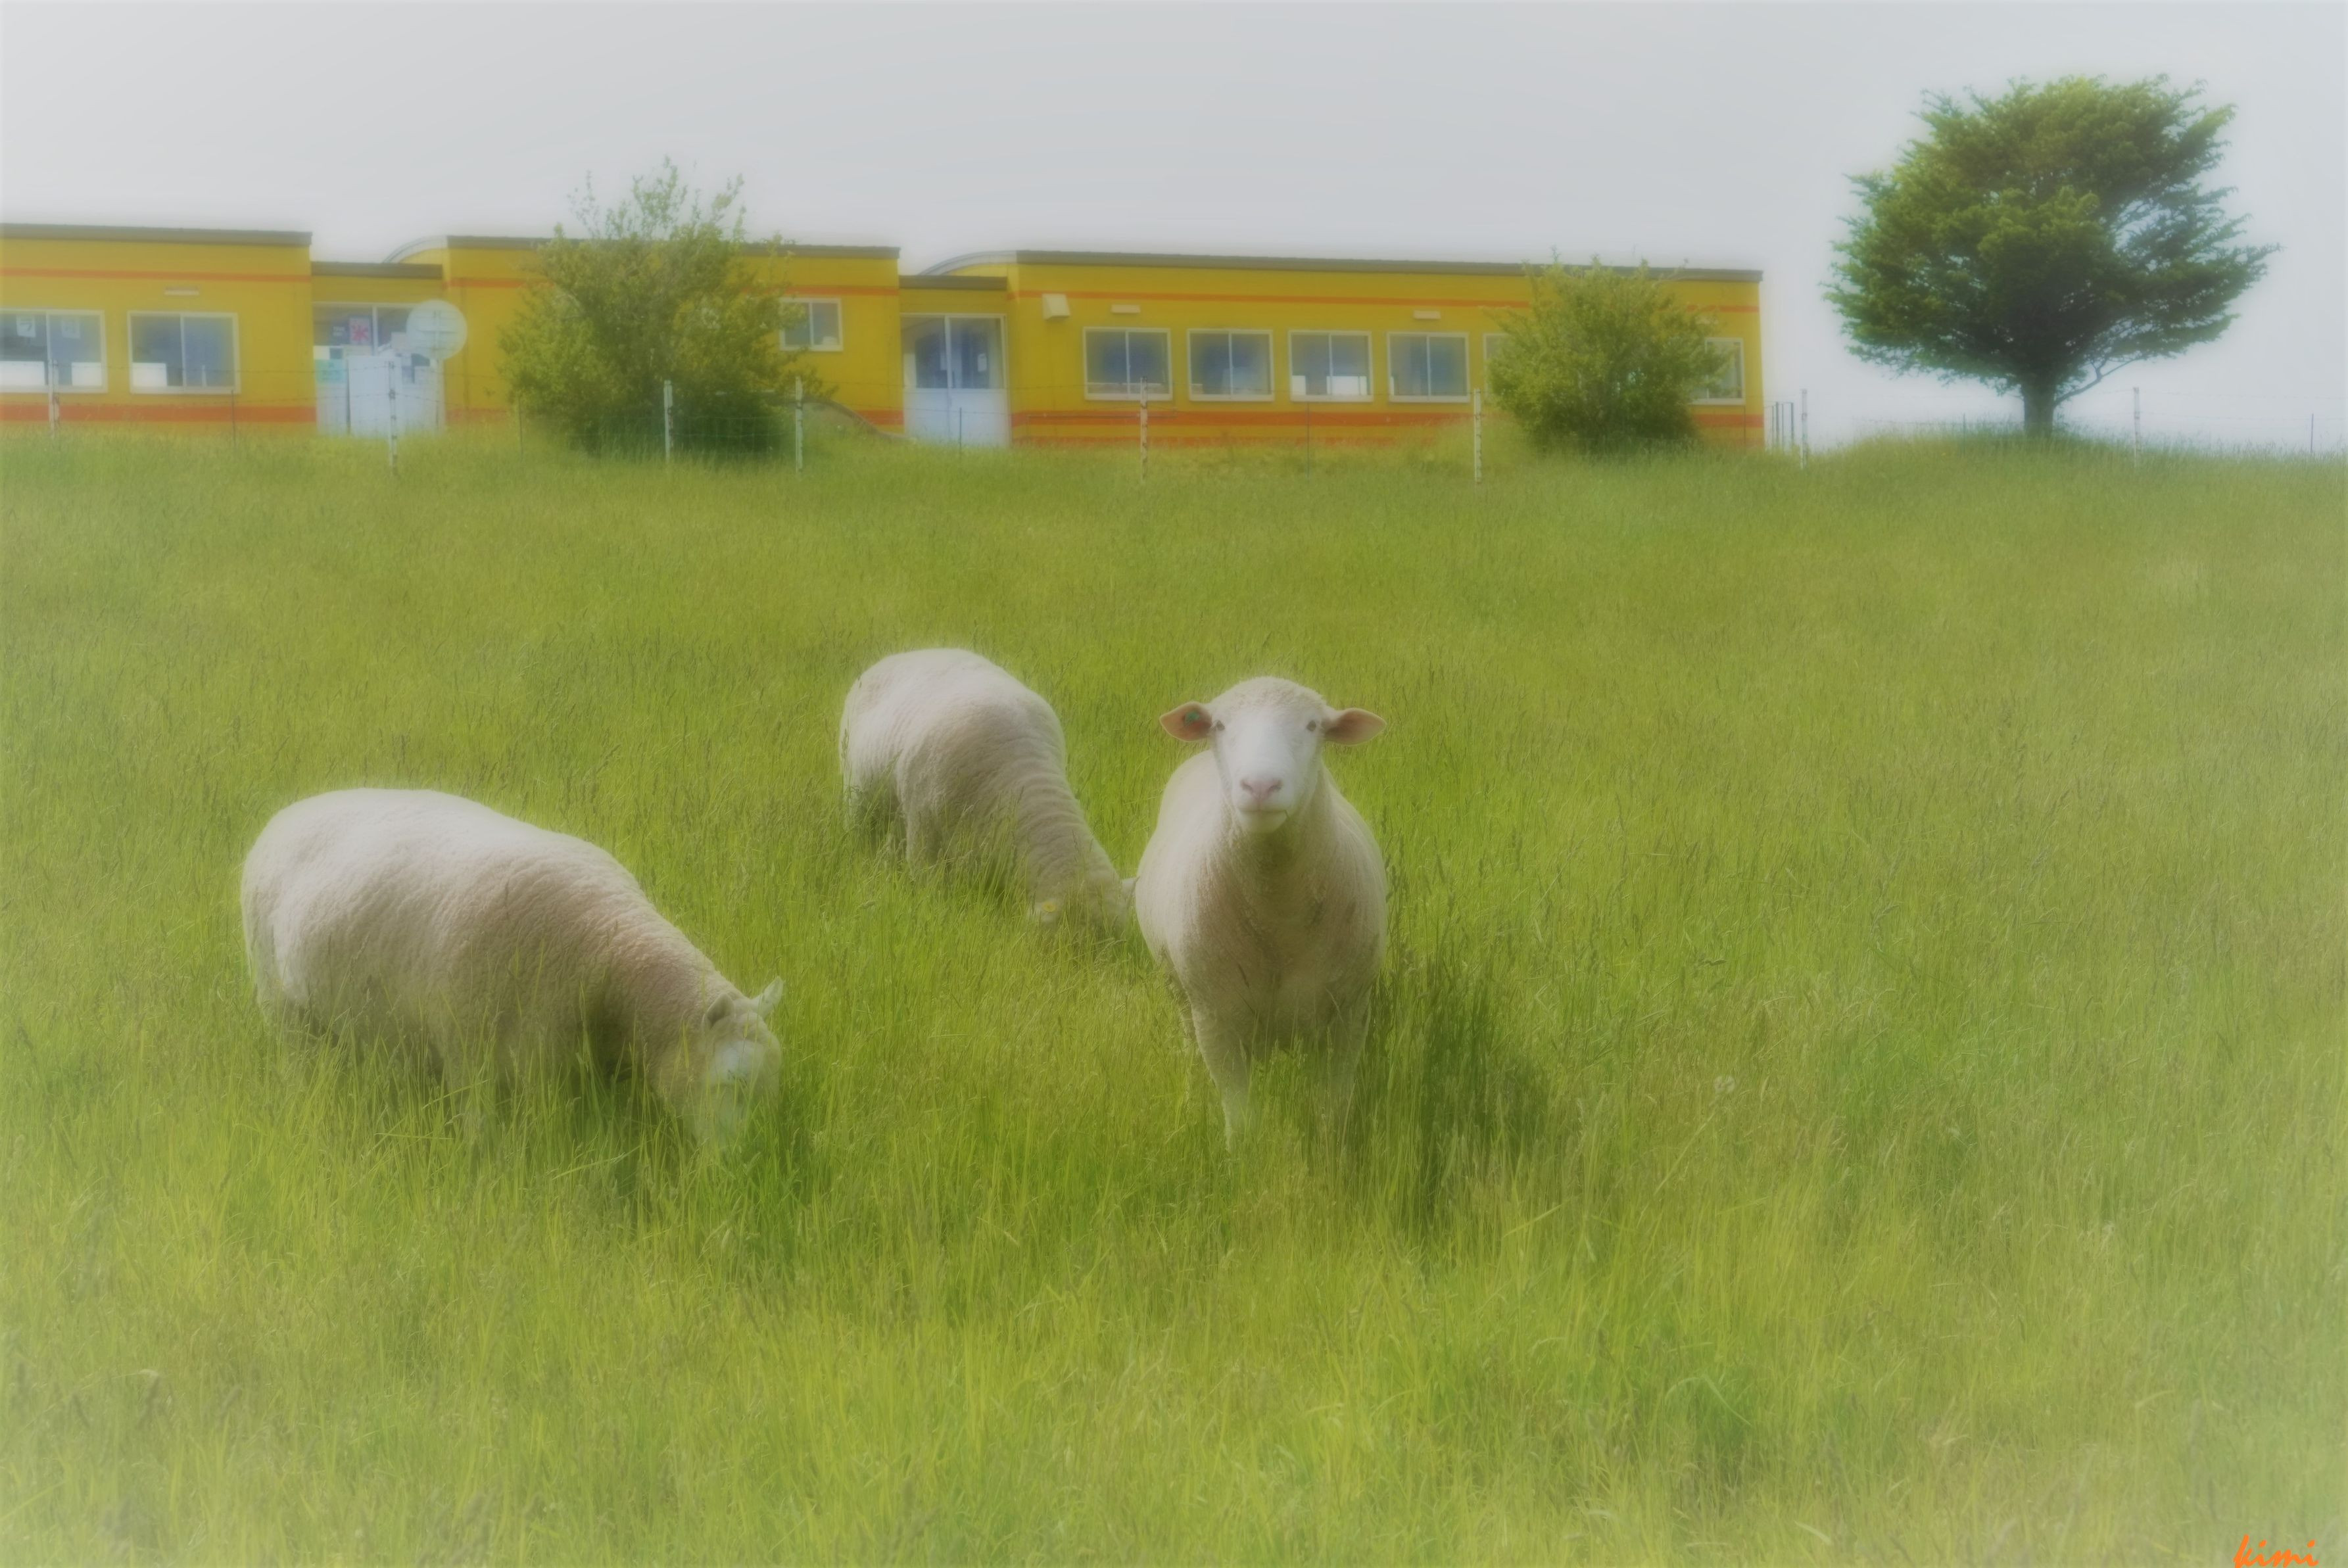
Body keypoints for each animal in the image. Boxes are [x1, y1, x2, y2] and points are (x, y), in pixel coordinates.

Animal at [241, 788, 782, 1144]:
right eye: (733, 1082)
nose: (742, 1166)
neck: (609, 951)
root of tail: (288, 812)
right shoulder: (469, 1053)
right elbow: (483, 1135)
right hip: (278, 1004)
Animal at [1132, 677, 1387, 1145]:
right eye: (1219, 725)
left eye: (1313, 726)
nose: (1260, 786)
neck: (1278, 914)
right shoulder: (1216, 1020)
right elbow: (1241, 1117)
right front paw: (1242, 1157)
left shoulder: (1349, 1014)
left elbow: (1333, 1106)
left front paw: (1332, 1148)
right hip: (1180, 991)